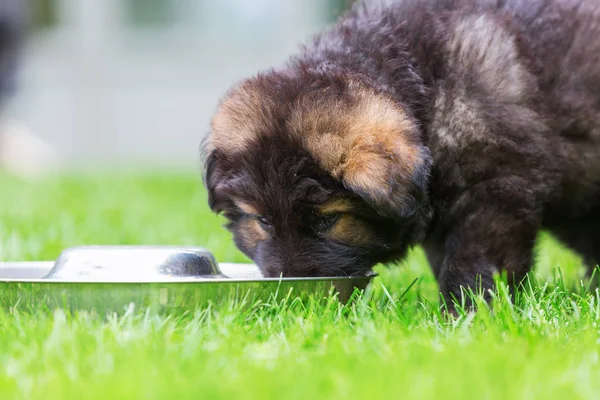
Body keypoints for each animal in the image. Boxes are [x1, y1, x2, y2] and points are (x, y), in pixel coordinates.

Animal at [203, 0, 600, 306]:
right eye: (263, 221)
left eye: (327, 220)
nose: (296, 289)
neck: (425, 87)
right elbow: (445, 260)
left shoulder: (496, 188)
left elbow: (474, 260)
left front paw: (470, 313)